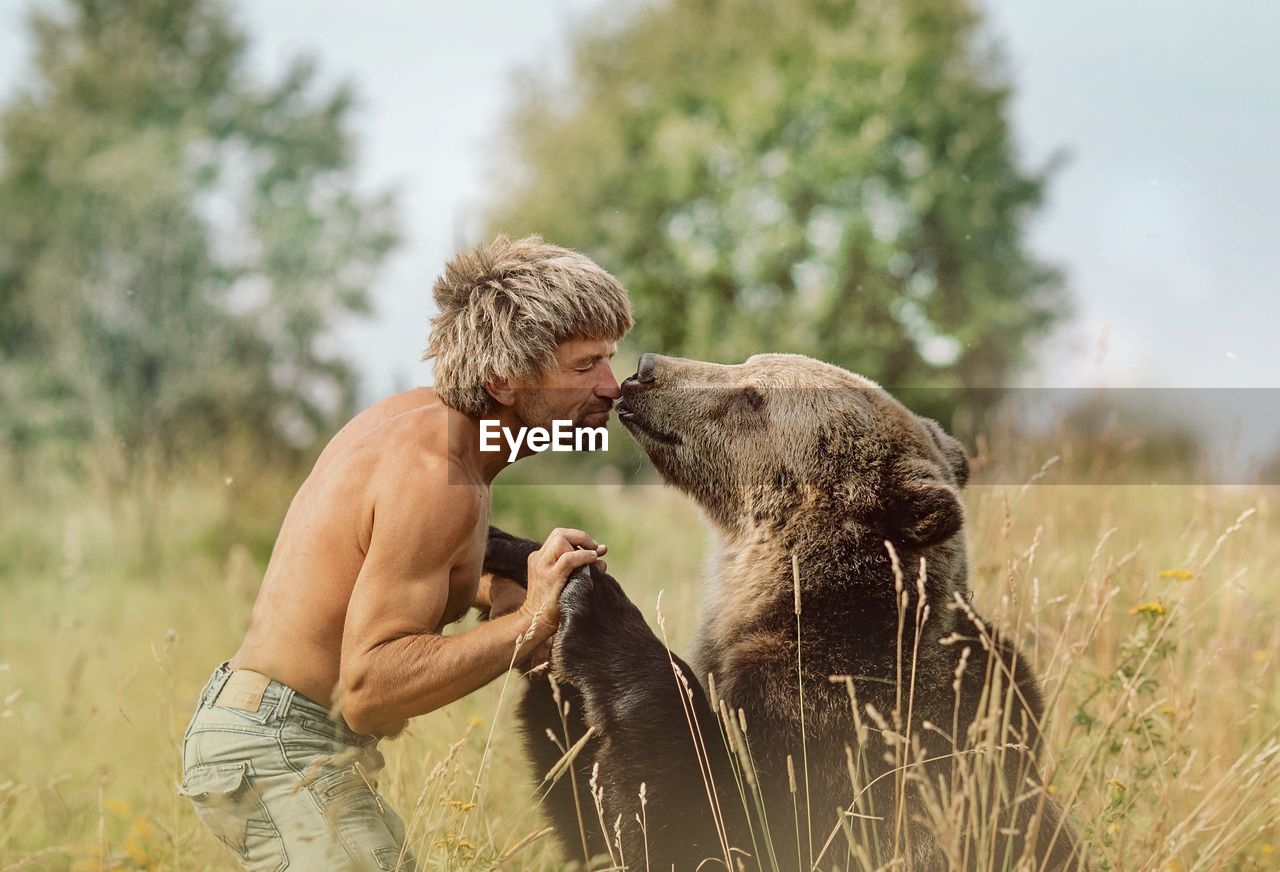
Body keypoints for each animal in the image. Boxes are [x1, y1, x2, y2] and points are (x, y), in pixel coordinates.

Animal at [483, 350, 1085, 865]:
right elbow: (591, 817)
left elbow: (721, 826)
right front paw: (521, 562)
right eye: (747, 363)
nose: (647, 369)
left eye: (753, 397)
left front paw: (596, 605)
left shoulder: (842, 730)